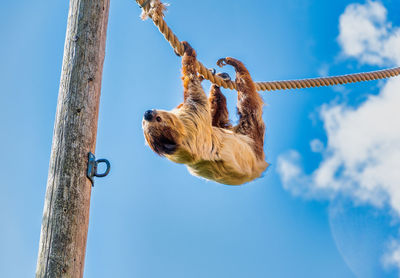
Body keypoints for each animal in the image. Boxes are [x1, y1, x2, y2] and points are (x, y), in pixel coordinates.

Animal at [142, 42, 268, 186]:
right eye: (157, 119)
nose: (147, 114)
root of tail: (260, 169)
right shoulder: (192, 119)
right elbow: (193, 87)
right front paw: (188, 51)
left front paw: (201, 76)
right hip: (253, 139)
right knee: (248, 102)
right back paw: (236, 65)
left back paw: (219, 81)